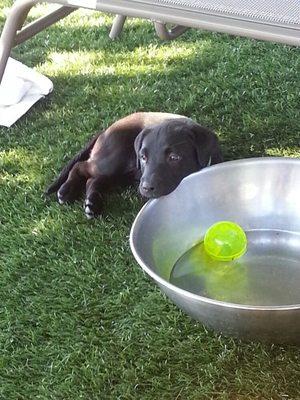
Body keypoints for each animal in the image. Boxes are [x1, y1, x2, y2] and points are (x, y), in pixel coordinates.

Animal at [45, 111, 221, 219]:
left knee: (94, 180)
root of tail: (106, 129)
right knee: (81, 167)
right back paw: (66, 191)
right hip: (112, 161)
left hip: (120, 174)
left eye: (174, 157)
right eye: (143, 157)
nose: (146, 188)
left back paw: (92, 204)